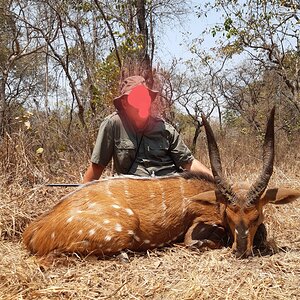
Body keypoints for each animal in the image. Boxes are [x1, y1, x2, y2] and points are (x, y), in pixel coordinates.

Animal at [23, 108, 300, 258]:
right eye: (229, 217)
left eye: (257, 216)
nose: (242, 249)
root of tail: (33, 229)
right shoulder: (198, 226)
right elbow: (196, 240)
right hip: (122, 228)